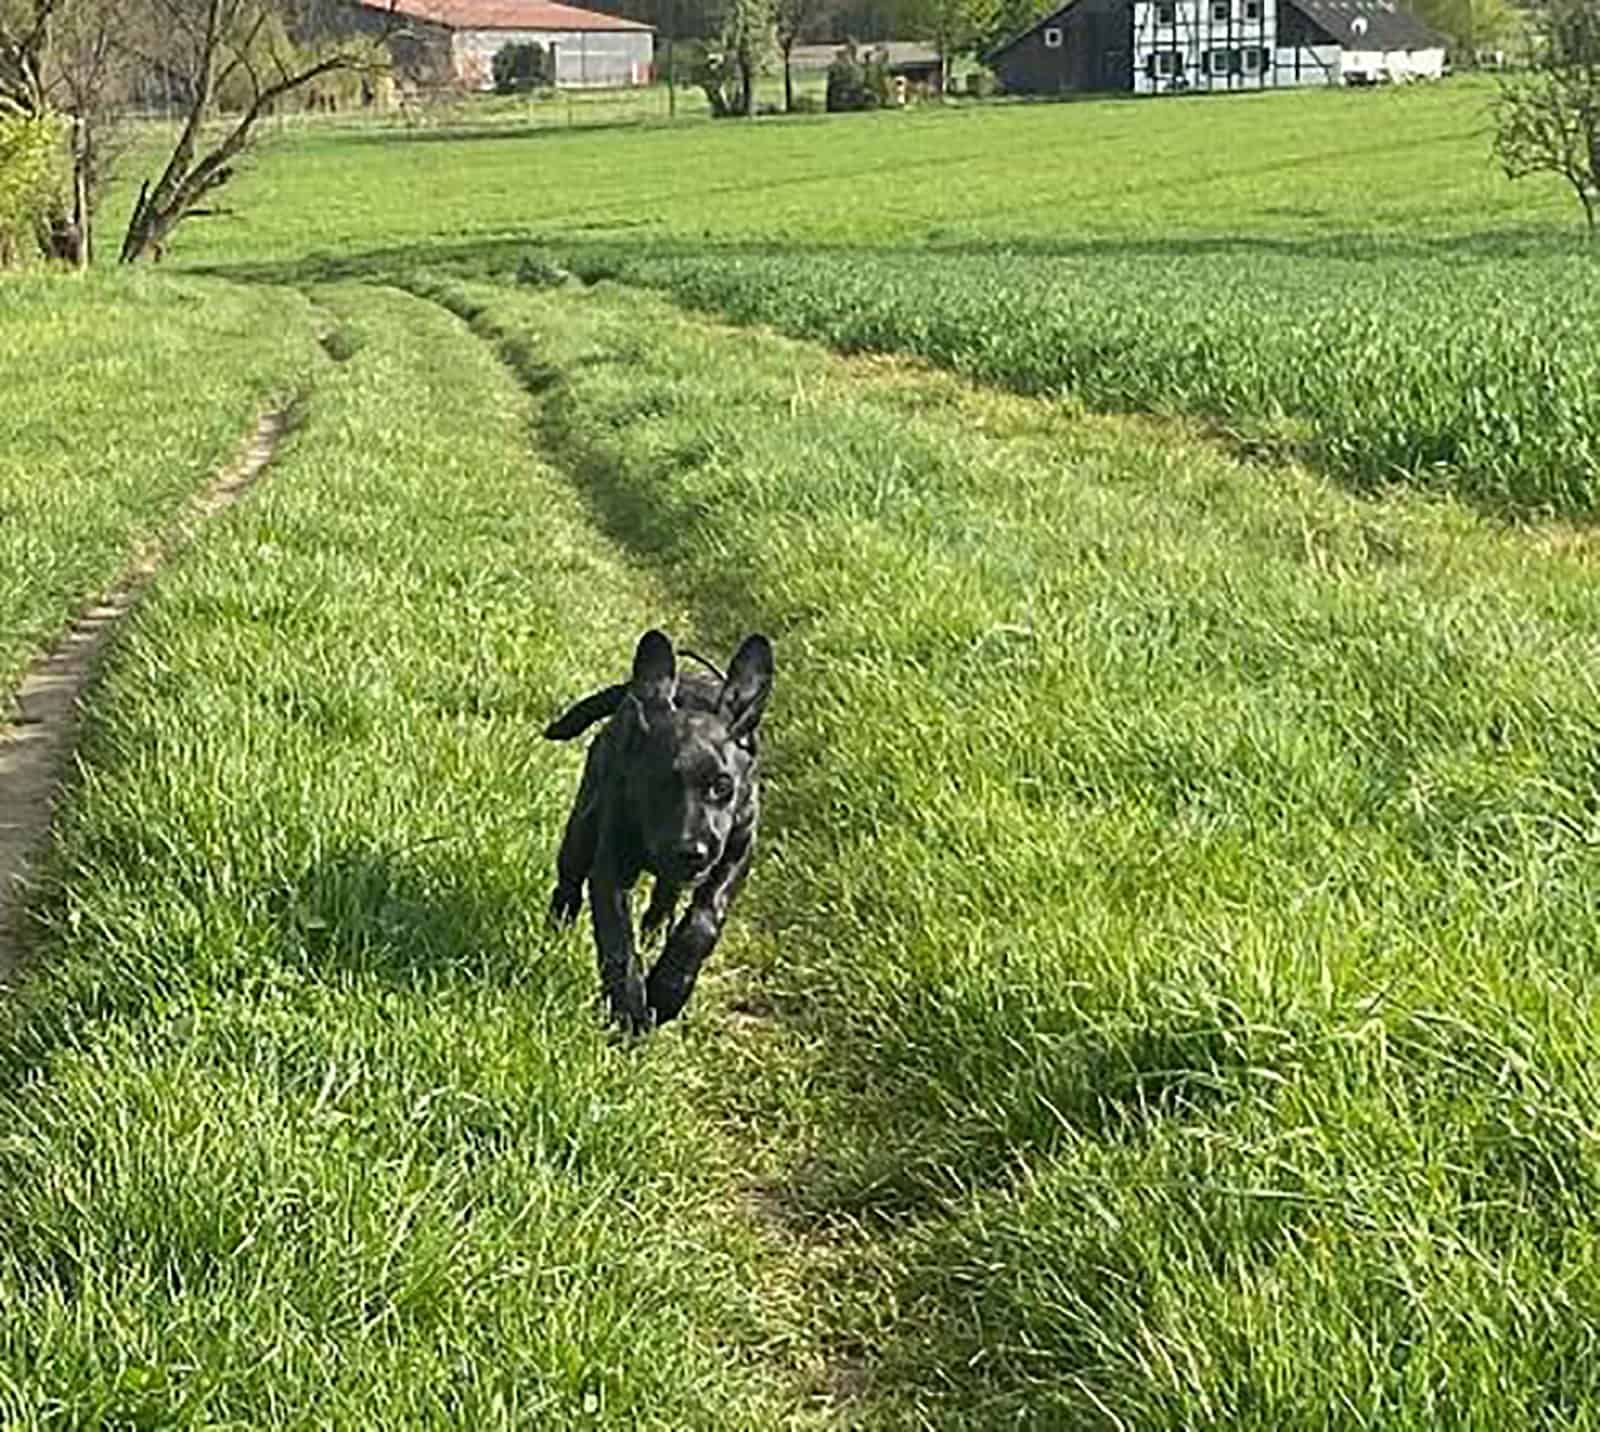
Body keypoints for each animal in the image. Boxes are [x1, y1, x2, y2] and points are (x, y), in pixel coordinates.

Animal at [547, 627, 777, 1030]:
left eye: (722, 786)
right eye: (655, 783)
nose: (692, 852)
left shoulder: (737, 852)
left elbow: (703, 921)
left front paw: (669, 989)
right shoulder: (610, 868)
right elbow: (617, 940)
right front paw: (629, 1014)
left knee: (664, 900)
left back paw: (655, 933)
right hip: (582, 827)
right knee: (568, 884)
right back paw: (554, 934)